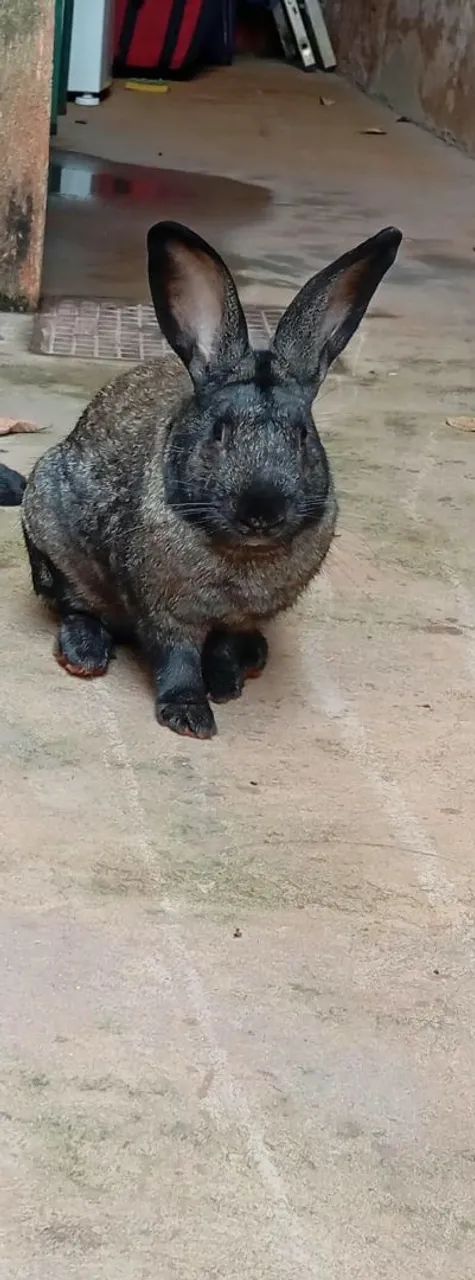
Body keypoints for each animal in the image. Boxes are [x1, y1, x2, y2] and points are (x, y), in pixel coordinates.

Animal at [21, 220, 401, 738]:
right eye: (219, 431)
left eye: (304, 435)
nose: (261, 512)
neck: (243, 555)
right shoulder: (164, 611)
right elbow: (177, 657)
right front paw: (189, 717)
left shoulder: (237, 619)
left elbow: (222, 647)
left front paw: (224, 685)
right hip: (51, 532)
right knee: (74, 604)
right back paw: (85, 654)